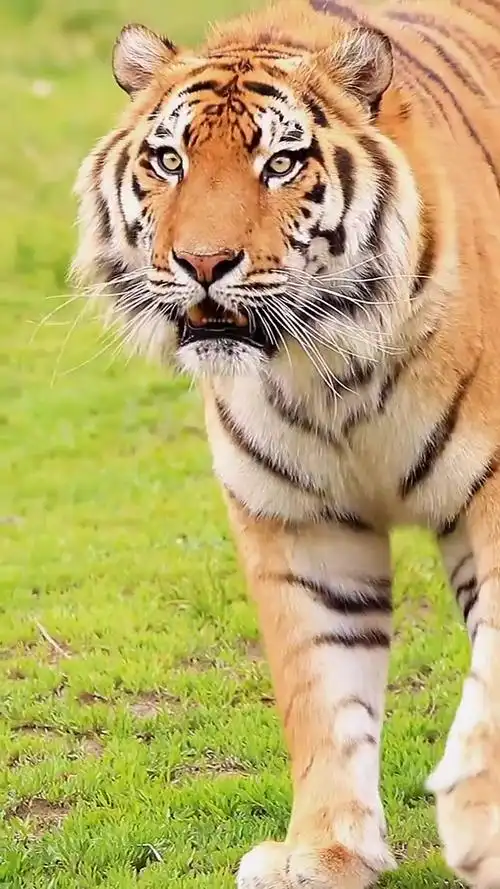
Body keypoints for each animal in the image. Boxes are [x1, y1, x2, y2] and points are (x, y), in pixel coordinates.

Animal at [72, 0, 500, 884]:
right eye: (169, 160)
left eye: (280, 164)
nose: (202, 262)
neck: (330, 368)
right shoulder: (302, 523)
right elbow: (324, 688)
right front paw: (325, 850)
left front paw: (477, 822)